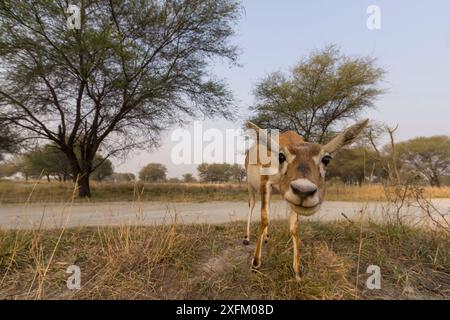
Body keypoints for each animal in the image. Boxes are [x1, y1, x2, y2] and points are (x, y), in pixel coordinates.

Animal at [244, 119, 368, 278]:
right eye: (281, 156)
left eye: (326, 159)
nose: (304, 190)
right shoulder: (265, 182)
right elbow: (264, 218)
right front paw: (255, 263)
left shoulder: (290, 198)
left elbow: (294, 227)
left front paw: (297, 271)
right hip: (250, 186)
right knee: (252, 205)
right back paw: (246, 238)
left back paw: (266, 237)